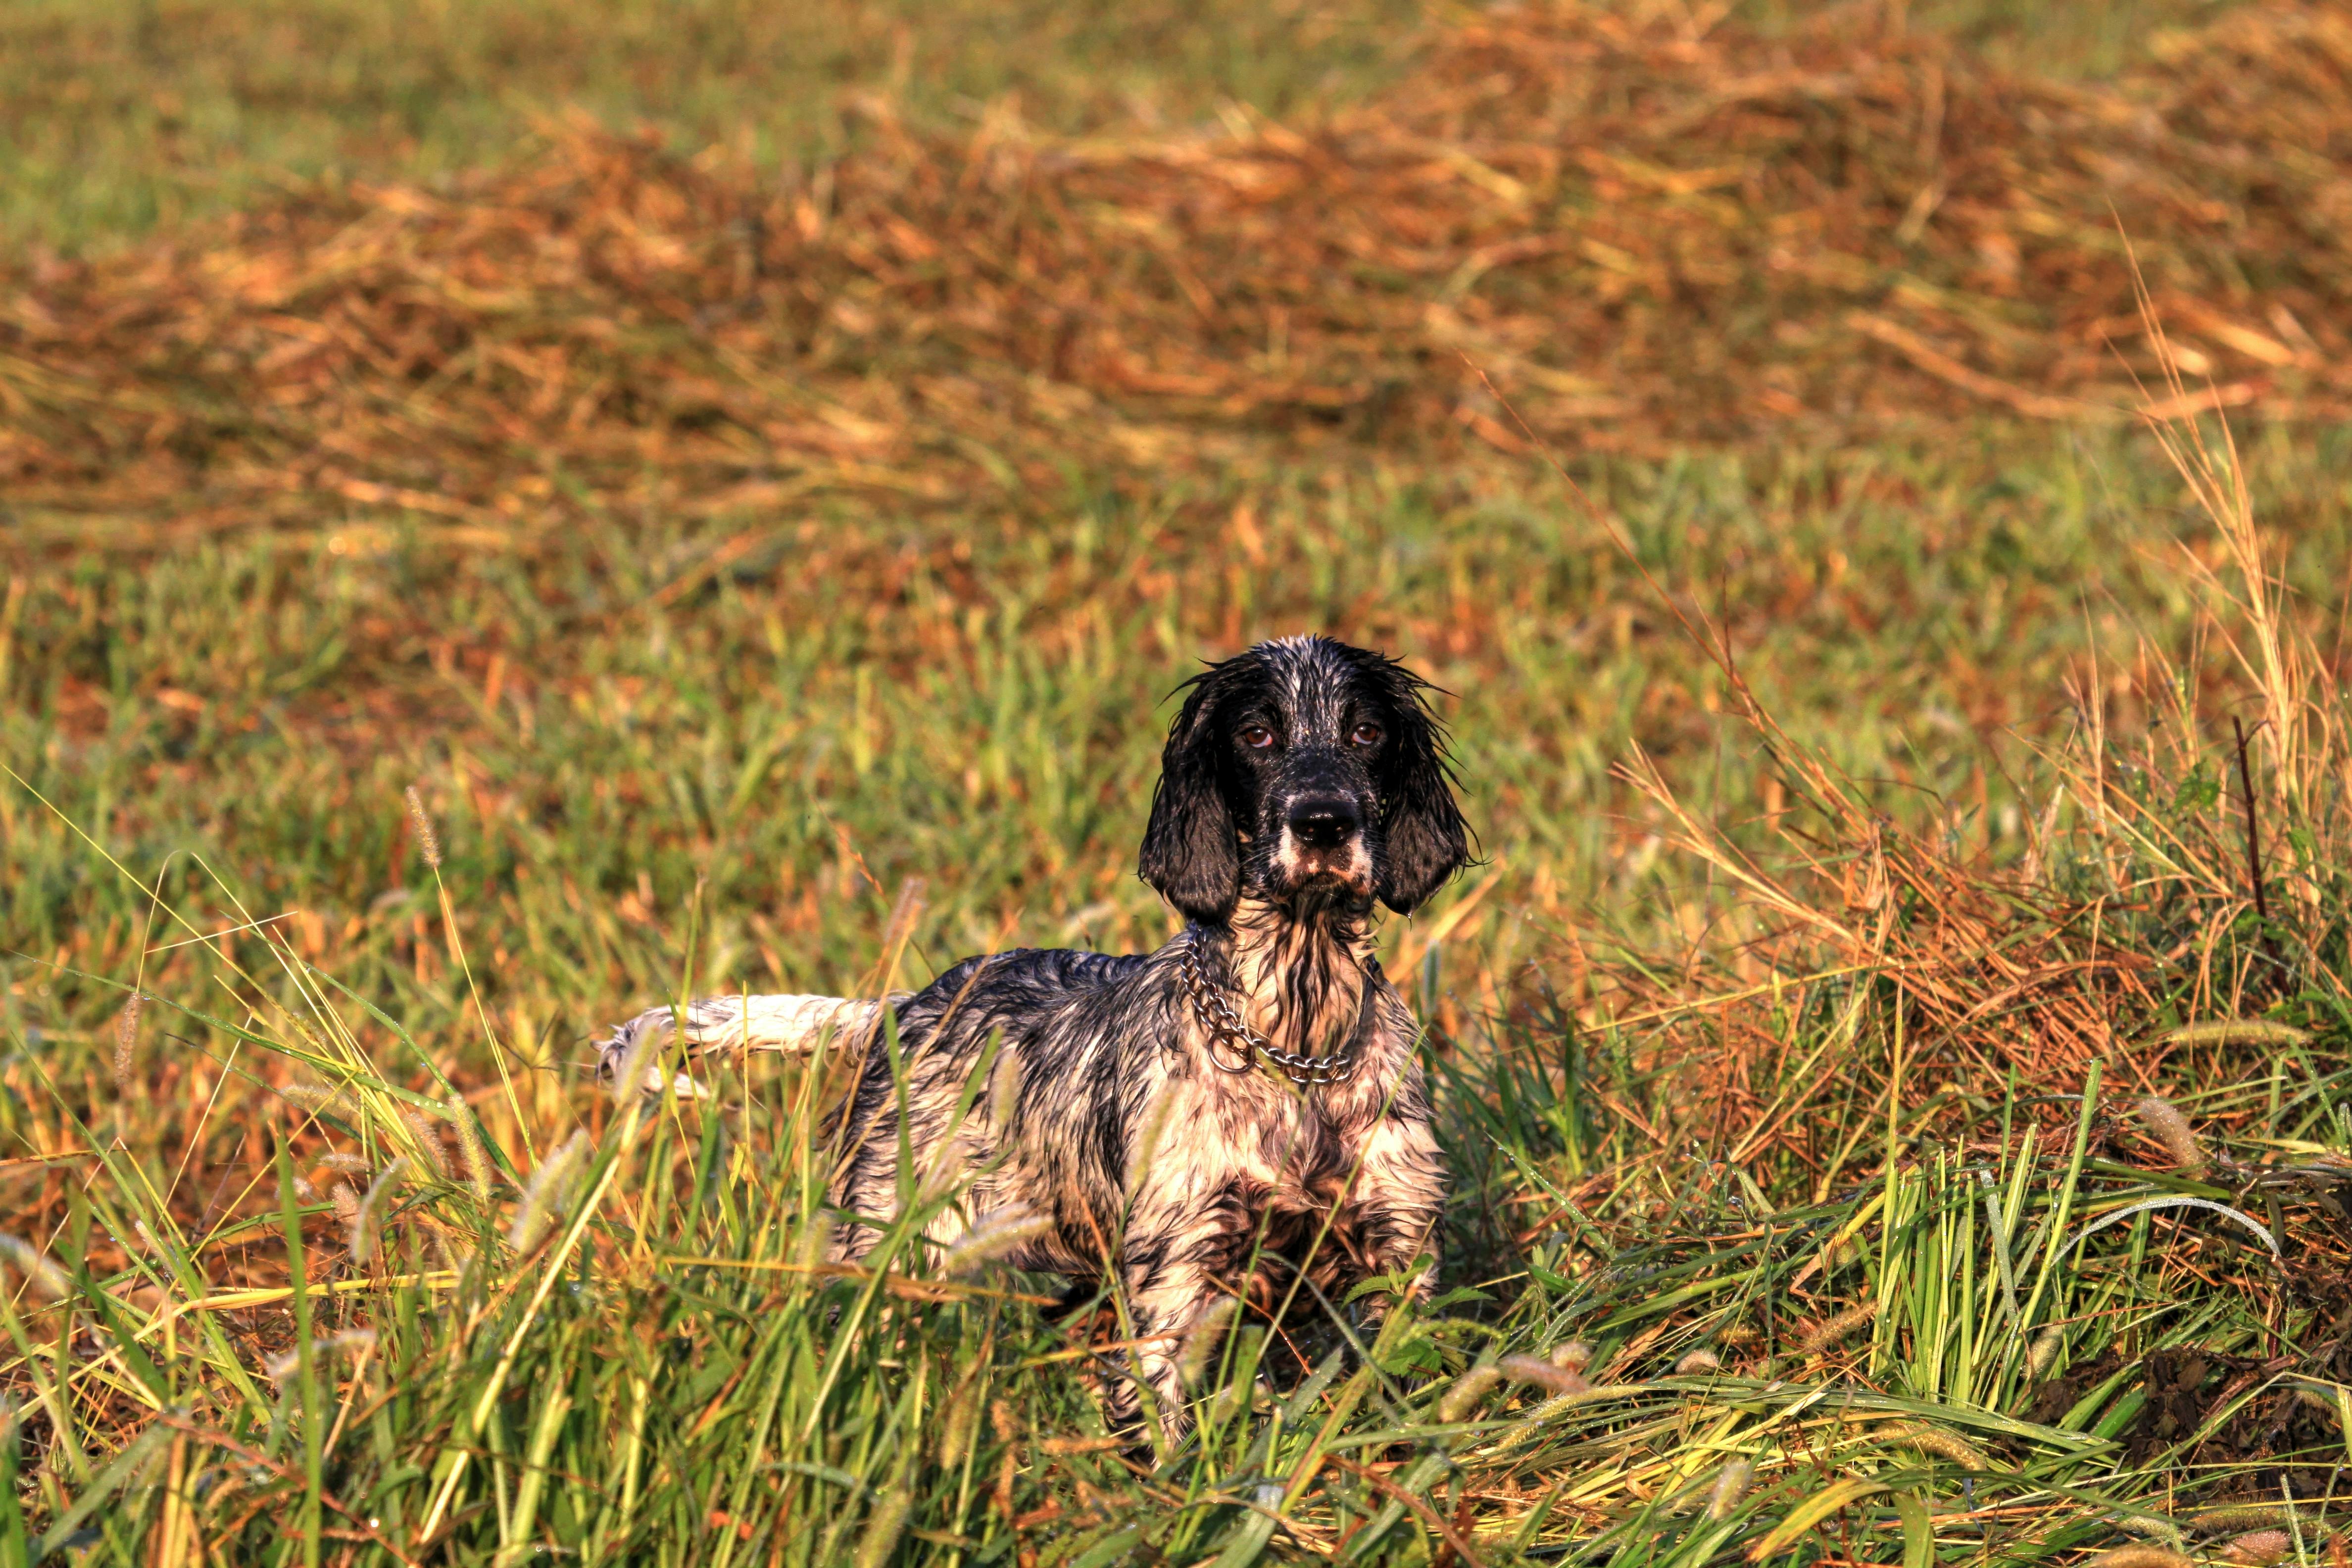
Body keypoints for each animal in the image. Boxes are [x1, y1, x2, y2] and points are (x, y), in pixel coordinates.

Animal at [602, 635, 1468, 1438]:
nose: (1323, 820)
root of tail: (903, 1009)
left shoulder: (1398, 1249)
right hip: (885, 1249)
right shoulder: (1174, 1274)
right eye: (1257, 734)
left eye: (1366, 731)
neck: (1297, 1047)